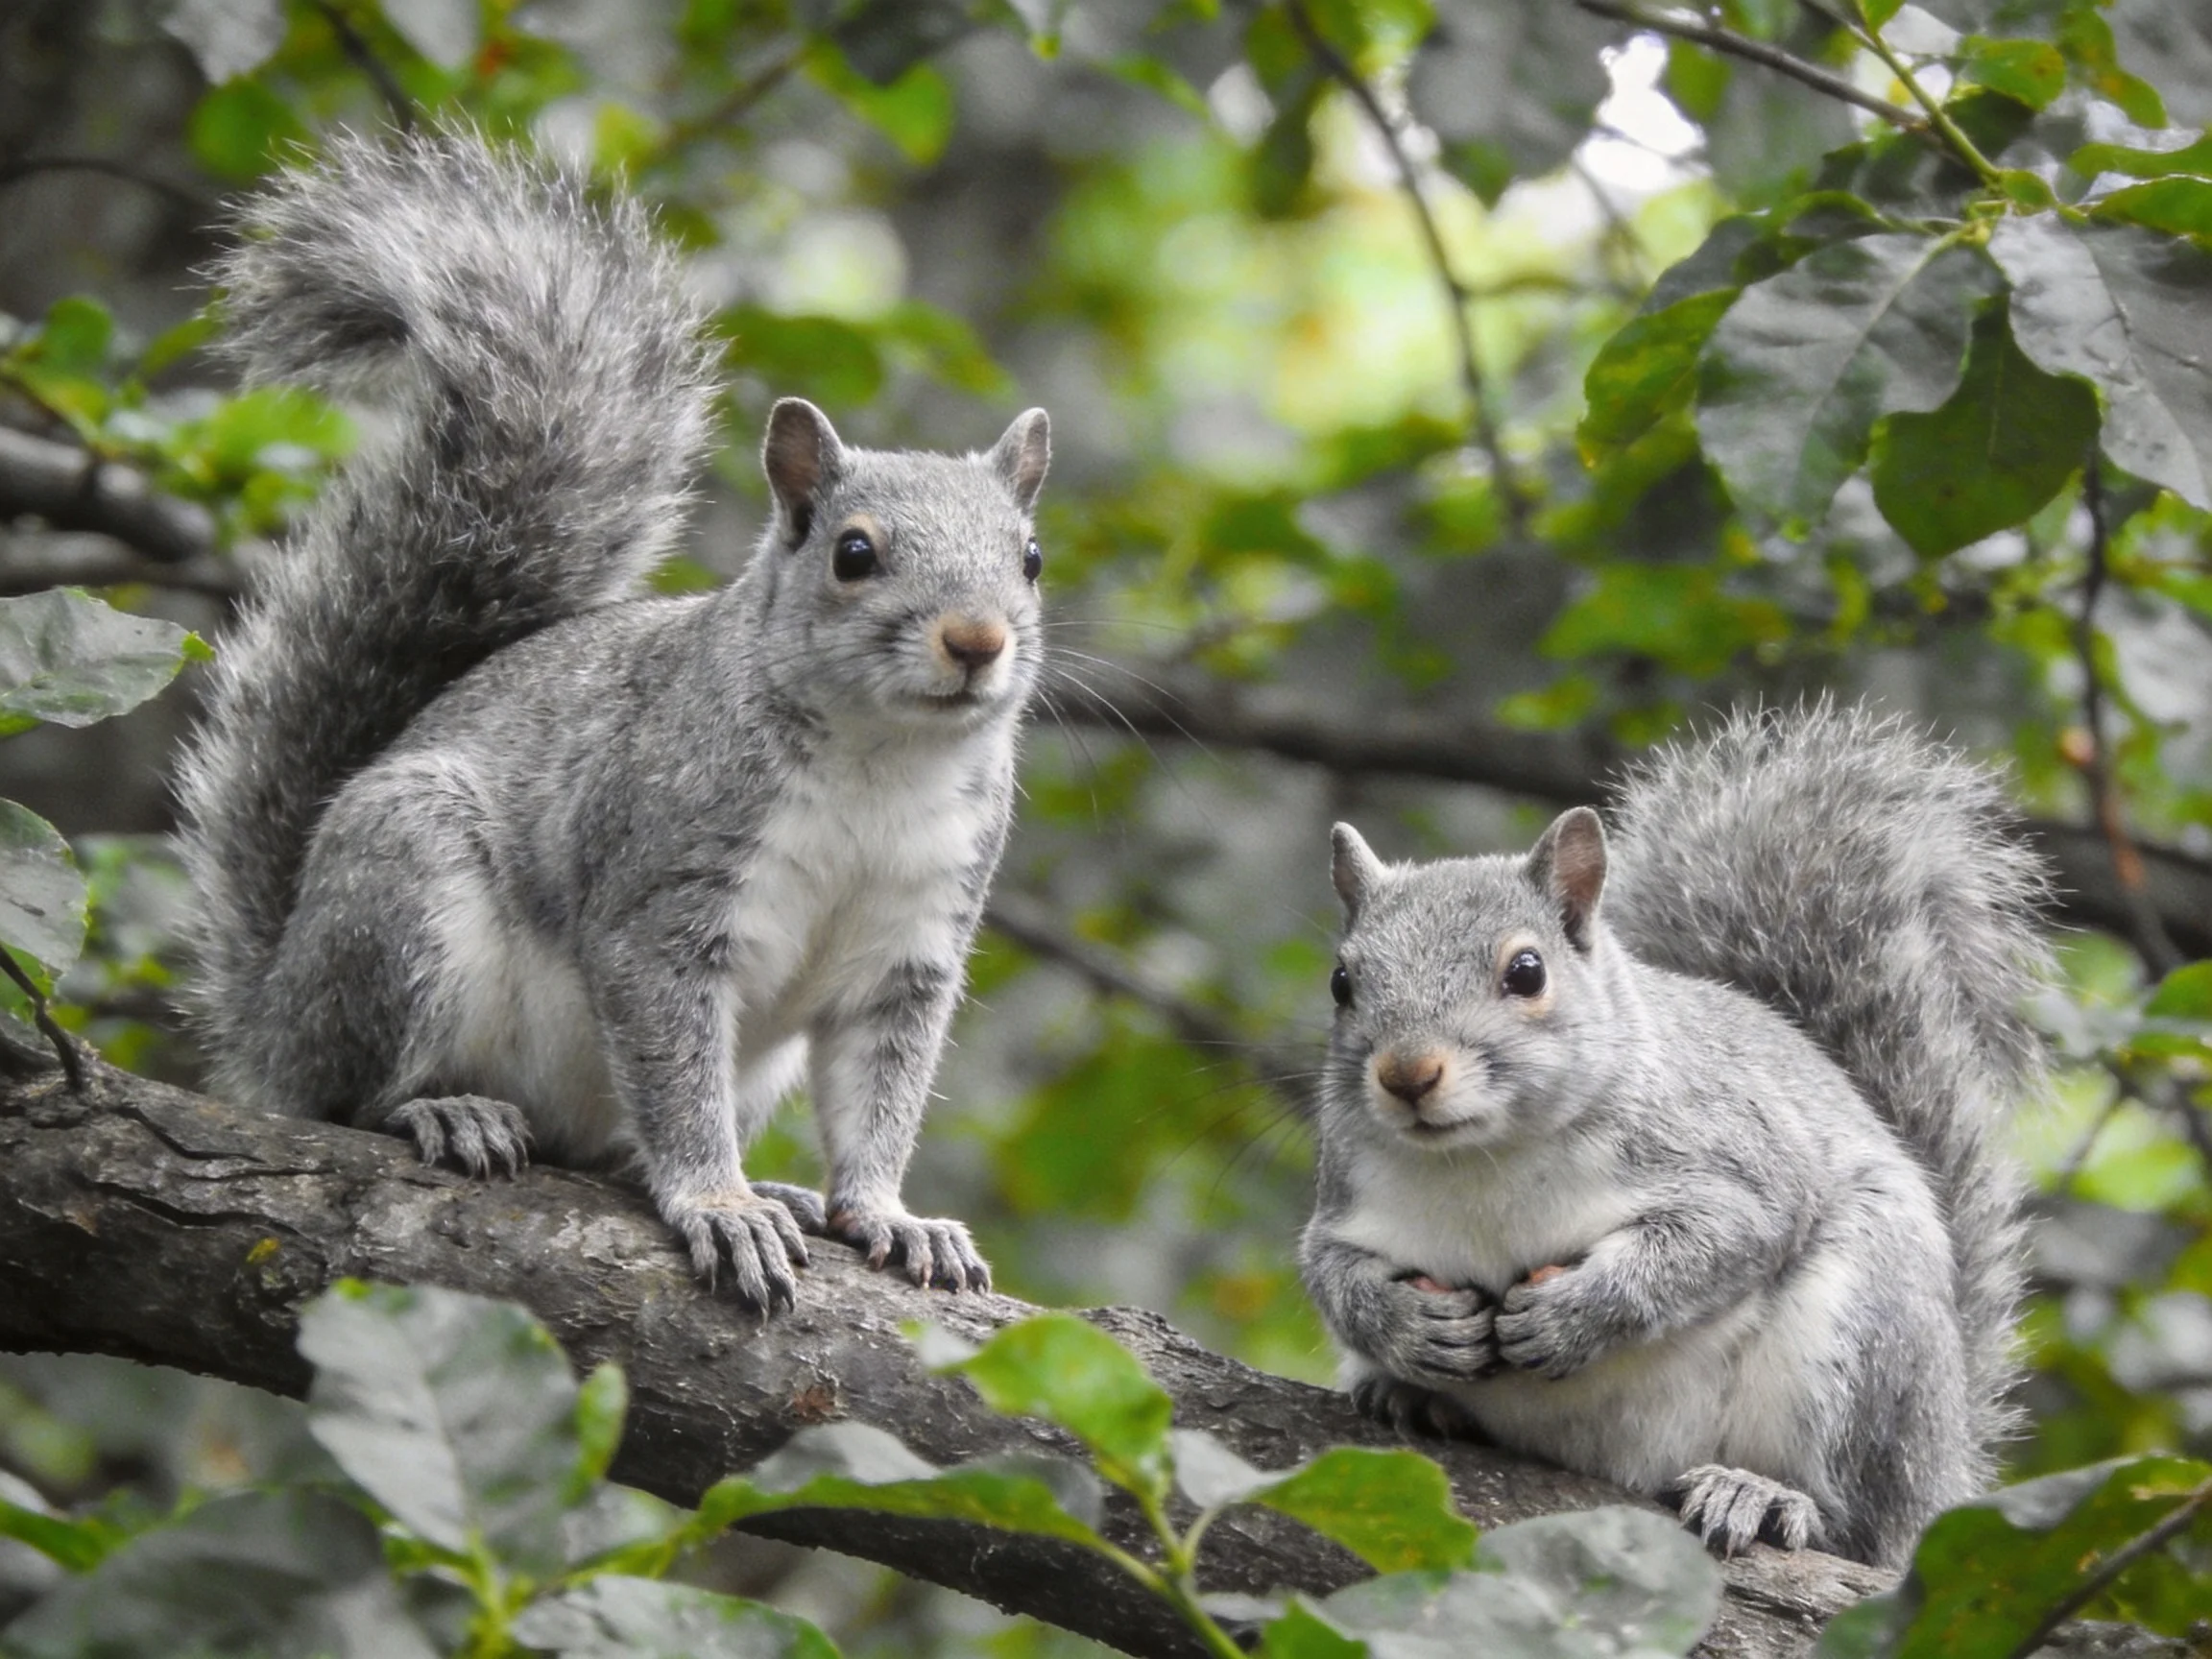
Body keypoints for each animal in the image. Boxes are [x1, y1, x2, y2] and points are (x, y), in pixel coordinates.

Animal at [176, 132, 1050, 1314]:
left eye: (1030, 559)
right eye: (854, 553)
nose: (976, 639)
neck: (882, 759)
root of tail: (272, 1014)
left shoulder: (913, 944)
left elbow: (882, 1093)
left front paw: (887, 1213)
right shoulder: (663, 892)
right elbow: (672, 1066)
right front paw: (717, 1203)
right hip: (401, 893)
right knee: (348, 1096)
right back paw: (445, 1109)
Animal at [1299, 704, 2050, 1567]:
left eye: (1527, 971)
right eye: (1342, 982)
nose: (1408, 1073)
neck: (1483, 1163)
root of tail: (1944, 1470)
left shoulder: (1735, 1159)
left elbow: (1718, 1242)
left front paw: (1576, 1316)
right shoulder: (1344, 1204)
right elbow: (1331, 1277)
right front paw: (1407, 1331)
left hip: (1863, 1336)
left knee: (1849, 1522)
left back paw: (1766, 1495)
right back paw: (1407, 1396)